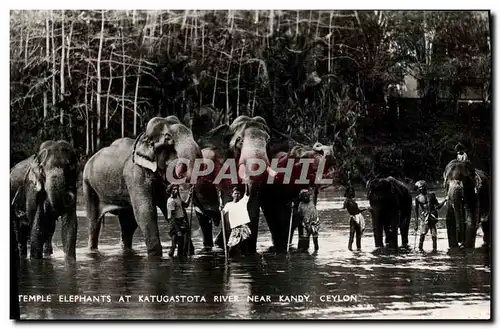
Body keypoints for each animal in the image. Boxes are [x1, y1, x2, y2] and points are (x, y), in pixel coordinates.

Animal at [84, 115, 203, 256]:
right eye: (168, 138)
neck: (144, 137)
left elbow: (169, 207)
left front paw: (190, 252)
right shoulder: (135, 175)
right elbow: (146, 211)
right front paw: (155, 255)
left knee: (128, 223)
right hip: (88, 185)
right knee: (93, 221)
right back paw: (92, 249)